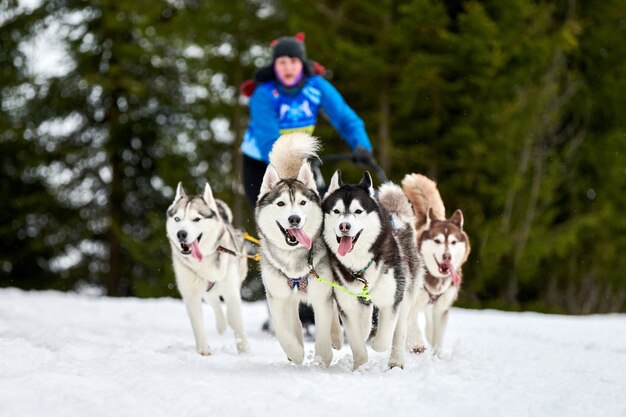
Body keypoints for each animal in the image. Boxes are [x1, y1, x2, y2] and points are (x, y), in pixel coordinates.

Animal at [167, 182, 247, 354]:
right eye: (177, 219)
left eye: (196, 219)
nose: (181, 234)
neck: (203, 260)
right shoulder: (191, 294)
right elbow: (198, 324)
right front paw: (203, 351)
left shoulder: (231, 291)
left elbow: (237, 323)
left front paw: (244, 350)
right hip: (206, 289)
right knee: (214, 301)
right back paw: (222, 325)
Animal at [255, 132, 342, 366]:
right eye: (281, 204)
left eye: (302, 203)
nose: (294, 219)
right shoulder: (277, 298)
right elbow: (283, 331)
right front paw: (295, 352)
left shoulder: (322, 296)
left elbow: (323, 328)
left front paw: (323, 356)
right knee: (294, 321)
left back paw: (337, 339)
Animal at [322, 171, 420, 368]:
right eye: (336, 211)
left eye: (358, 211)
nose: (344, 226)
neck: (360, 265)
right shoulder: (347, 307)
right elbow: (357, 343)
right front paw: (359, 366)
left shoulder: (391, 300)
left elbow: (383, 340)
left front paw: (377, 344)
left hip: (405, 288)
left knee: (400, 328)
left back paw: (396, 361)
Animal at [400, 173, 468, 354]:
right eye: (437, 241)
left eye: (453, 242)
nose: (447, 256)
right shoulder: (410, 304)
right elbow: (412, 326)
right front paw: (417, 344)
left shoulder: (441, 310)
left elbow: (437, 338)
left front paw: (437, 356)